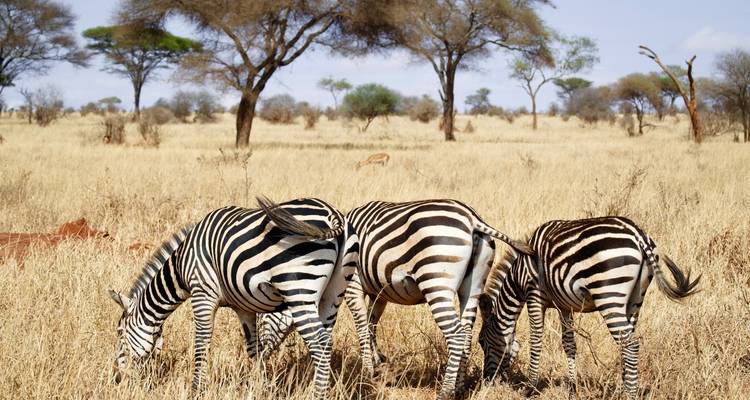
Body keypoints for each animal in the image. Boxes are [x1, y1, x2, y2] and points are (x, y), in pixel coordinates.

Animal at [108, 197, 359, 399]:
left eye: (120, 332)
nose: (116, 377)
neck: (180, 265)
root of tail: (333, 214)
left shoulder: (202, 293)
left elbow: (202, 341)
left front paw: (197, 389)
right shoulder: (244, 307)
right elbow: (254, 349)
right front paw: (259, 387)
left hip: (298, 288)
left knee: (320, 343)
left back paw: (317, 395)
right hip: (334, 293)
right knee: (326, 339)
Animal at [251, 199, 532, 400]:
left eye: (264, 318)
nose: (260, 358)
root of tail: (473, 219)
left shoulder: (353, 285)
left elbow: (361, 325)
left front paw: (367, 370)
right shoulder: (379, 291)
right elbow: (372, 323)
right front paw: (378, 362)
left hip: (436, 281)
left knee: (456, 334)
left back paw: (445, 391)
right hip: (472, 287)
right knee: (465, 330)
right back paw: (460, 386)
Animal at [477, 216, 700, 399]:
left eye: (481, 342)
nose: (487, 381)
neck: (518, 277)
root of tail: (638, 235)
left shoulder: (534, 294)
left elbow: (536, 340)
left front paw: (530, 387)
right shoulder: (564, 305)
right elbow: (569, 344)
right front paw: (572, 388)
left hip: (609, 295)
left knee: (630, 345)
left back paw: (630, 394)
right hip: (636, 299)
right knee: (626, 342)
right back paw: (624, 387)